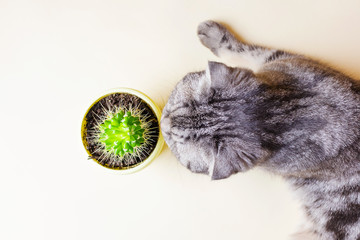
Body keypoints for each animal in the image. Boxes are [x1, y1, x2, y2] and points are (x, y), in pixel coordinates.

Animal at [162, 21, 360, 240]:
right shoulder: (278, 59)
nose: (163, 122)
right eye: (174, 107)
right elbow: (242, 49)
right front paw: (213, 33)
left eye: (174, 140)